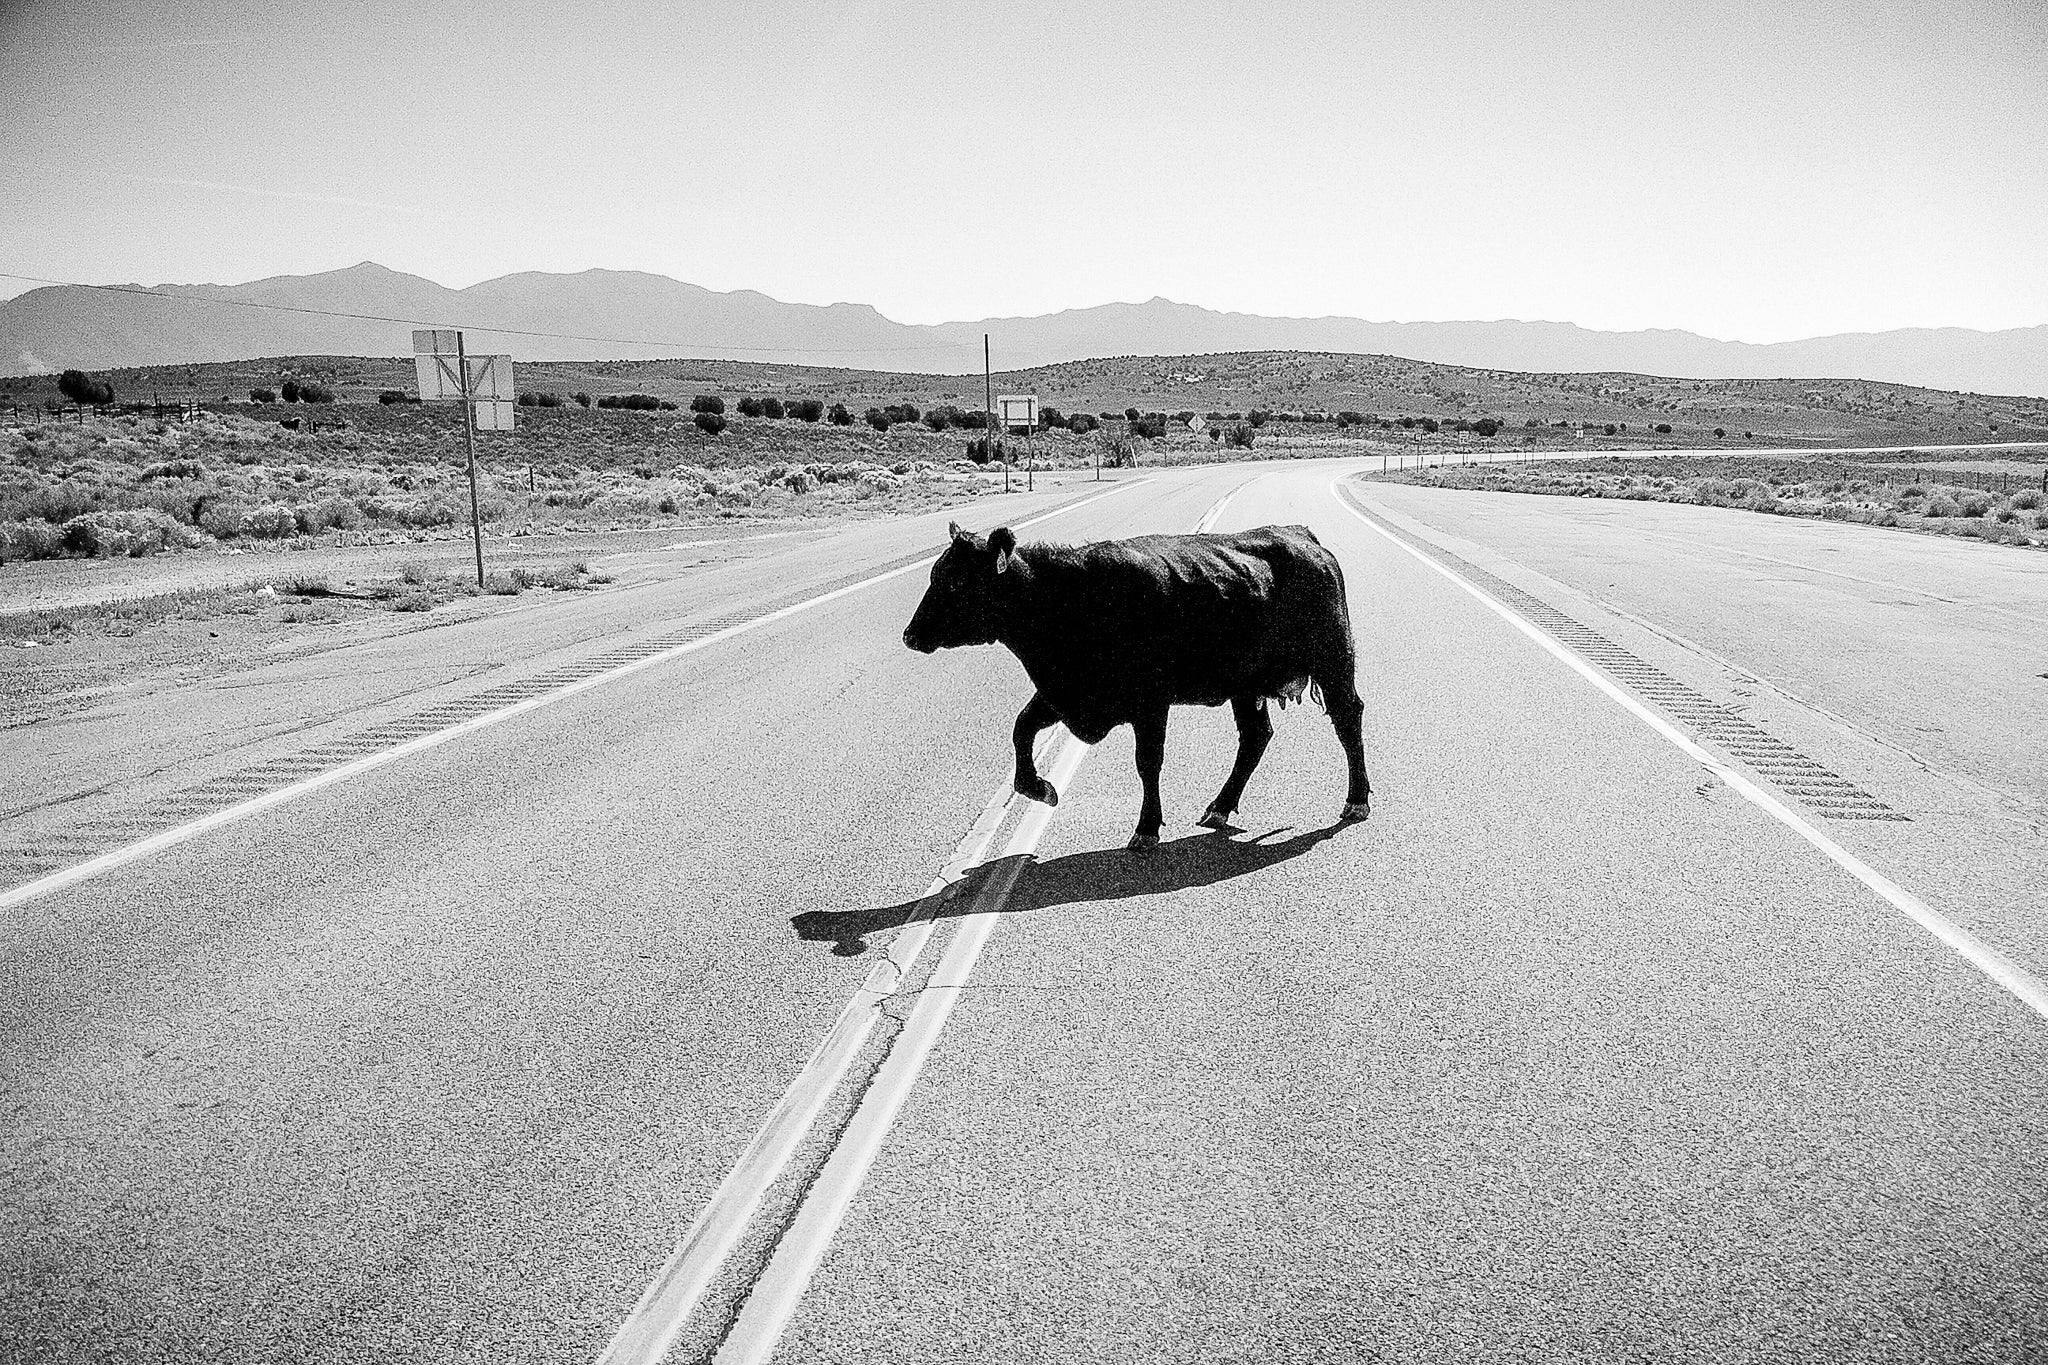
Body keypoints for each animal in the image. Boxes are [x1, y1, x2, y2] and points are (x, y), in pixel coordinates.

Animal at [902, 522, 1371, 850]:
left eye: (956, 582)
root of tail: (1302, 536)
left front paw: (1146, 829)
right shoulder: (1061, 693)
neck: (1067, 597)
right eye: (936, 574)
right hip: (1246, 688)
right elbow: (1021, 728)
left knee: (1348, 721)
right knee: (1256, 737)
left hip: (1333, 663)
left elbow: (1148, 763)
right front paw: (1038, 787)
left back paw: (1356, 800)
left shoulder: (1150, 705)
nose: (910, 635)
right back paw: (1218, 808)